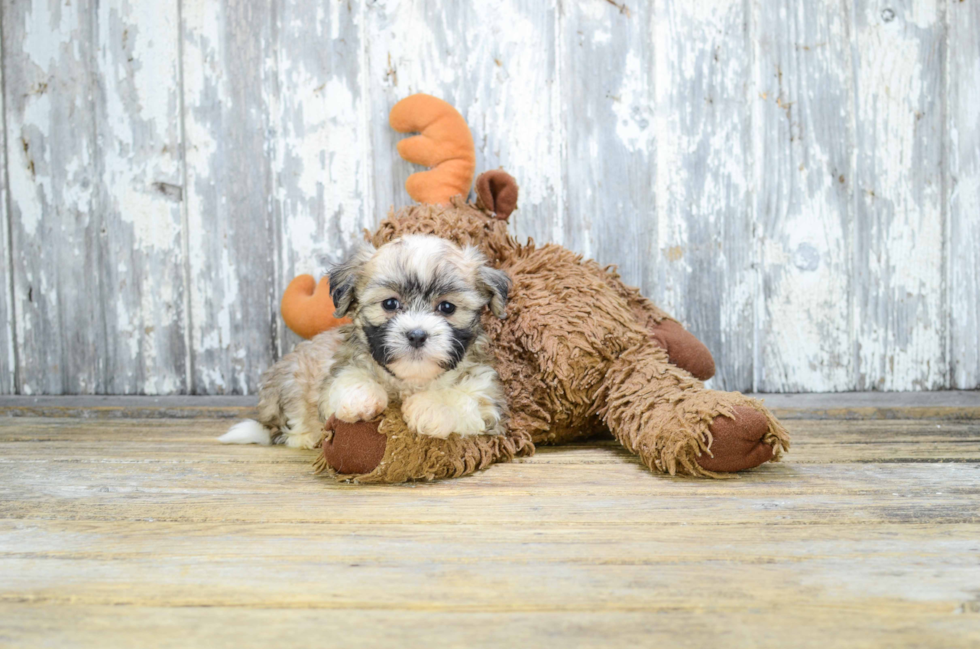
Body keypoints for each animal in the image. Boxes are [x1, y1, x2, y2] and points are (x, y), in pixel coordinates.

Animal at [219, 234, 510, 450]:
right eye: (390, 304)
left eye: (447, 307)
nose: (417, 334)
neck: (411, 380)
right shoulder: (341, 367)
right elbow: (347, 379)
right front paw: (362, 398)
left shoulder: (488, 399)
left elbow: (465, 400)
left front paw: (431, 406)